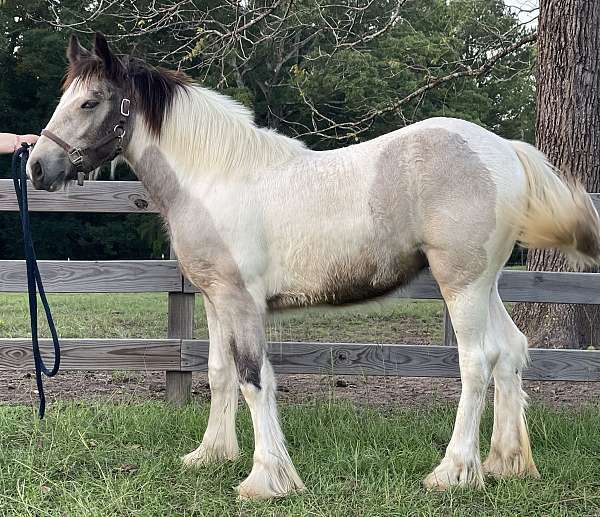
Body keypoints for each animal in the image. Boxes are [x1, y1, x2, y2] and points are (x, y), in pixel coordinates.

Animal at [28, 33, 600, 500]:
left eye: (89, 101)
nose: (36, 167)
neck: (217, 177)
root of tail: (503, 149)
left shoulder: (242, 302)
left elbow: (254, 378)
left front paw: (266, 479)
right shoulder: (215, 300)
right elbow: (219, 374)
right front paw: (211, 455)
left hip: (461, 284)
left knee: (477, 362)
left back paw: (454, 471)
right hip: (485, 284)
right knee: (511, 352)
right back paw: (506, 463)